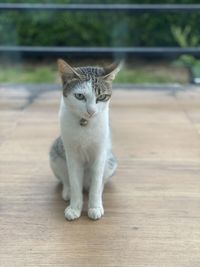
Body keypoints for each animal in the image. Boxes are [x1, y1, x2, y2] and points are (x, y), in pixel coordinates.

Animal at [49, 59, 120, 221]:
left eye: (101, 97)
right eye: (80, 96)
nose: (91, 111)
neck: (85, 123)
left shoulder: (100, 152)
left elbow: (97, 182)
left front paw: (94, 207)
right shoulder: (71, 153)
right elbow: (75, 181)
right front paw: (74, 208)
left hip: (111, 161)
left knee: (100, 181)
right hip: (56, 154)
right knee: (66, 179)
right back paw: (67, 192)